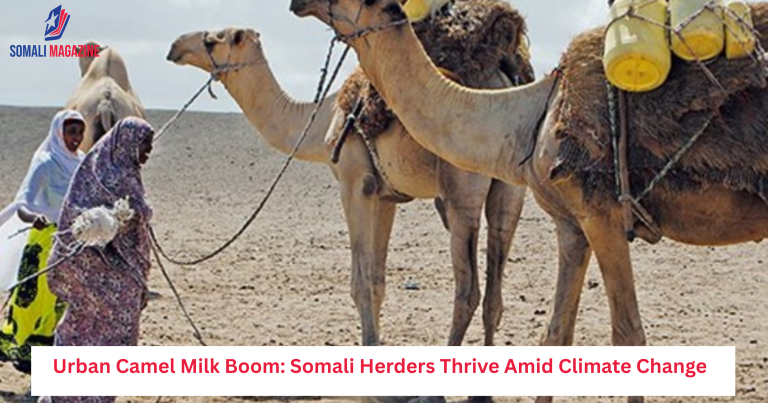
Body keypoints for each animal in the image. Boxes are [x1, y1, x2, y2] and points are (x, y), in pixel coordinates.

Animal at [167, 27, 528, 347]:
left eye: (213, 39)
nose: (174, 47)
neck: (321, 119)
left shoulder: (354, 184)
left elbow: (361, 283)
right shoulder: (385, 195)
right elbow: (378, 281)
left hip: (461, 186)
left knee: (468, 291)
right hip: (509, 189)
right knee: (494, 295)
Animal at [290, 0, 768, 401]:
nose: (297, 2)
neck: (528, 119)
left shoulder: (602, 215)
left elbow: (628, 334)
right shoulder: (573, 224)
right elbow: (557, 335)